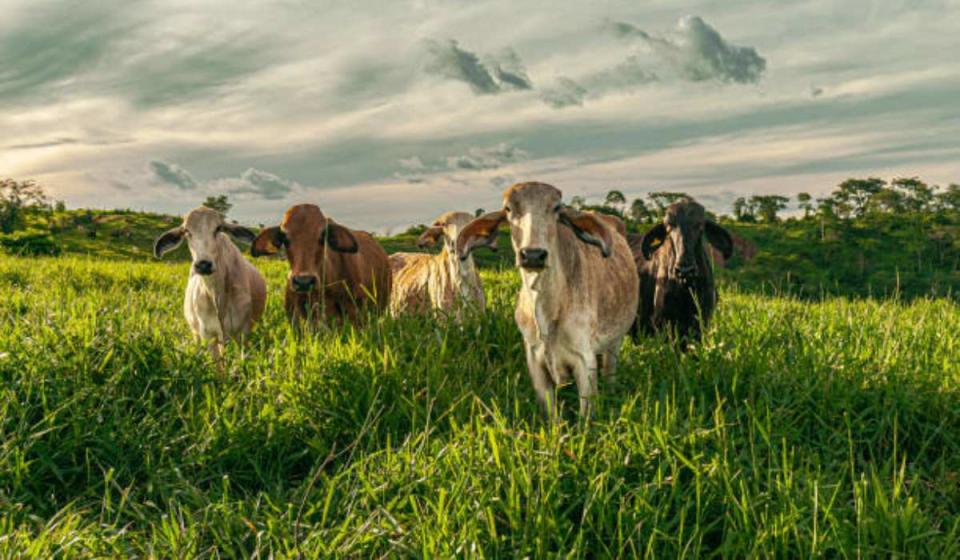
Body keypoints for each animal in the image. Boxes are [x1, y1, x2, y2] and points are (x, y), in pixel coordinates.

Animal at [458, 182, 636, 418]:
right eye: (508, 209)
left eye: (557, 208)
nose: (533, 255)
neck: (547, 312)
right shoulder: (536, 363)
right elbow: (552, 417)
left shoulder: (584, 361)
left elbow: (586, 418)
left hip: (615, 343)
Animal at [632, 196, 736, 346]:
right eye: (669, 225)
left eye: (699, 225)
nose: (685, 270)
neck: (687, 289)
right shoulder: (662, 325)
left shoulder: (701, 324)